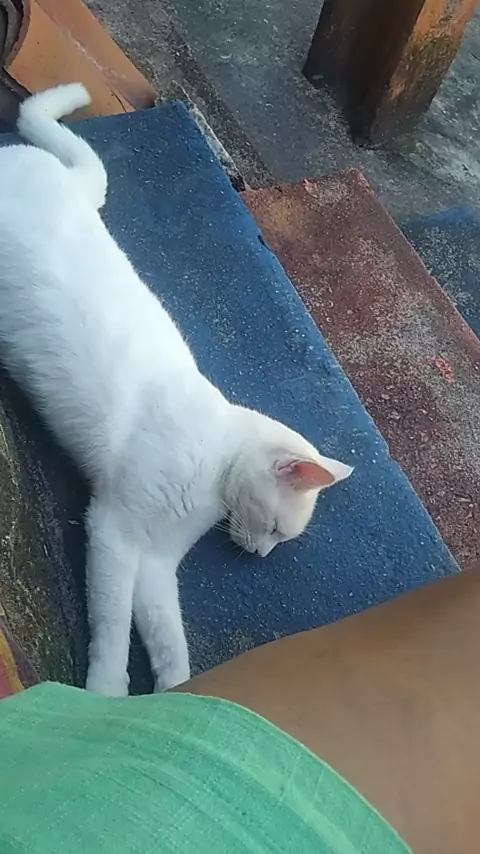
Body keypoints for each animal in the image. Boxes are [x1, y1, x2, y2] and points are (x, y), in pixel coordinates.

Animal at [0, 84, 353, 697]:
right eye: (276, 529)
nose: (260, 554)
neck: (216, 466)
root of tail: (45, 170)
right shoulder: (114, 530)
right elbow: (113, 625)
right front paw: (106, 694)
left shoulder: (157, 562)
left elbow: (168, 638)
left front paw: (173, 692)